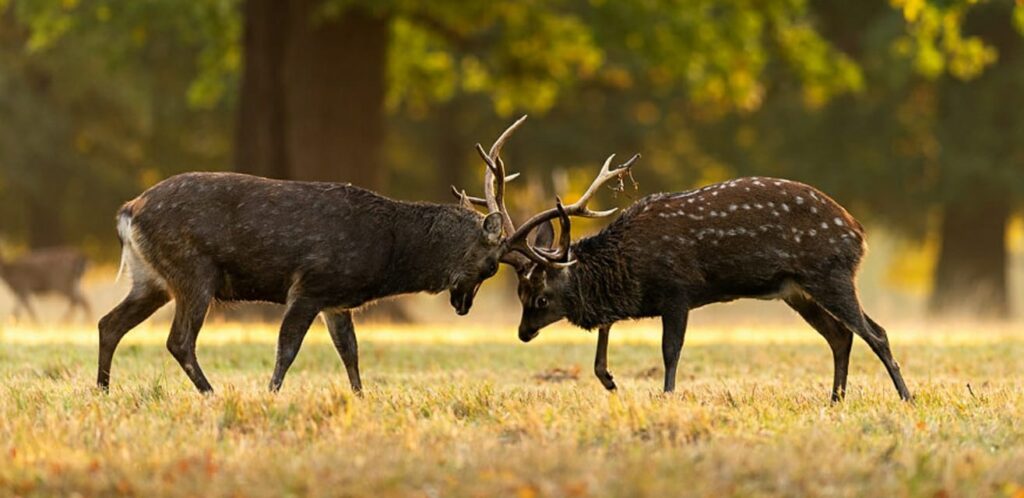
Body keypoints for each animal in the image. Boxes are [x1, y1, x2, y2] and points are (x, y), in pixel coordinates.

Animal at [464, 150, 913, 401]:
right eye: (520, 294)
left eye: (540, 297)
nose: (523, 332)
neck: (629, 265)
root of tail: (858, 232)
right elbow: (606, 330)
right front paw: (609, 380)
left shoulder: (676, 290)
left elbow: (670, 350)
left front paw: (666, 395)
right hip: (796, 290)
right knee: (840, 336)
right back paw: (835, 400)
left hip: (830, 272)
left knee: (875, 332)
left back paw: (905, 397)